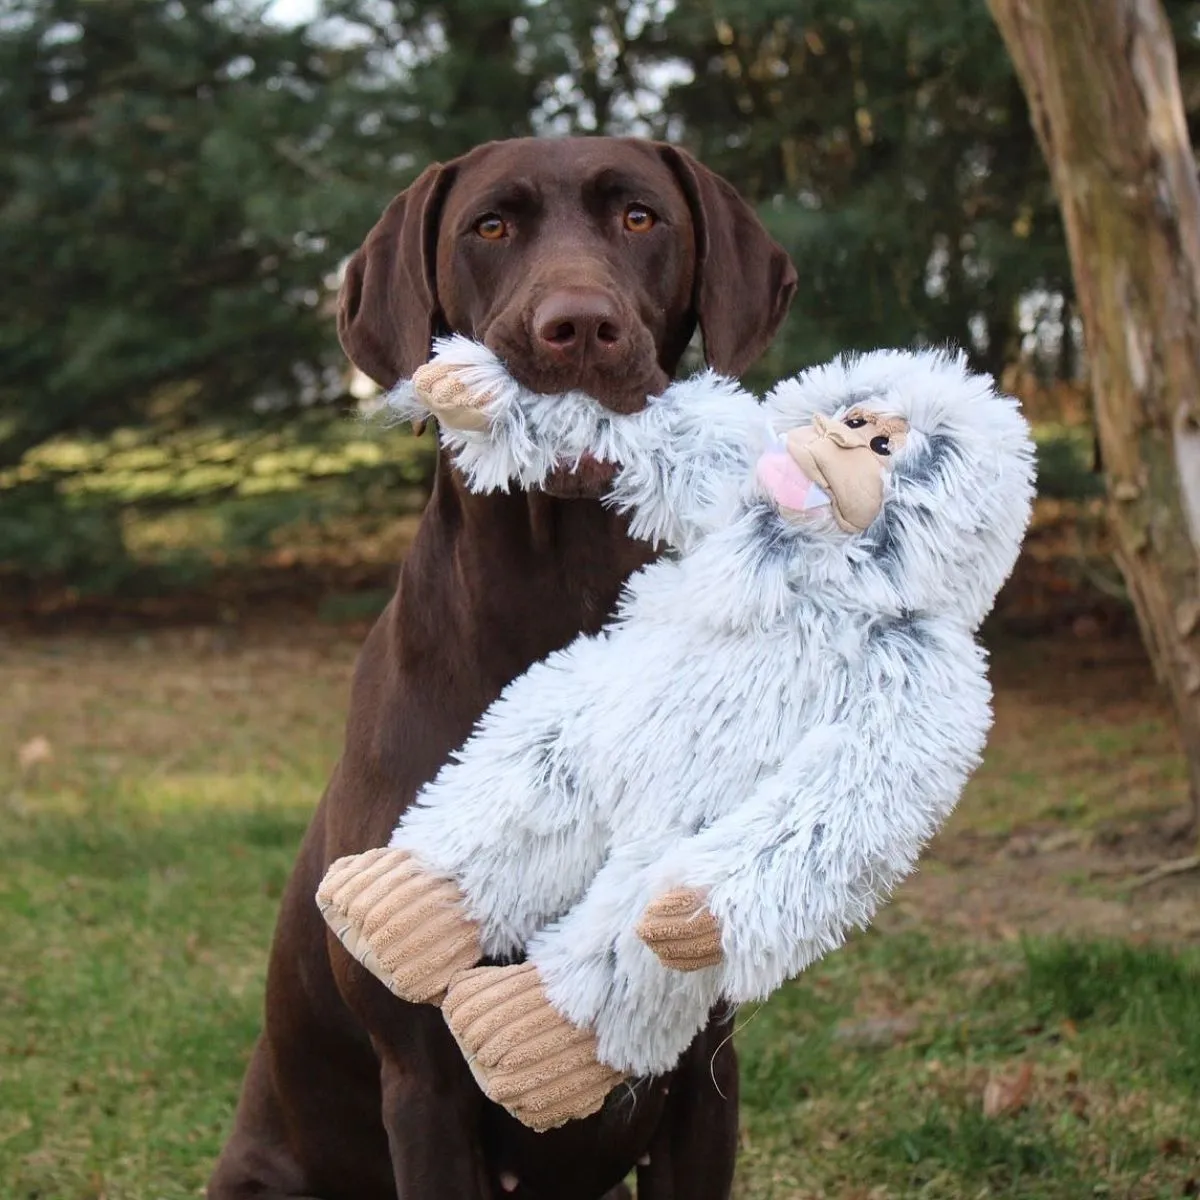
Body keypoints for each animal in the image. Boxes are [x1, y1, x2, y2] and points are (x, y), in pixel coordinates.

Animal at [208, 136, 796, 1195]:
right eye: (489, 227)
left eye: (641, 217)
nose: (578, 329)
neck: (557, 595)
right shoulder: (426, 1084)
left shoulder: (704, 1074)